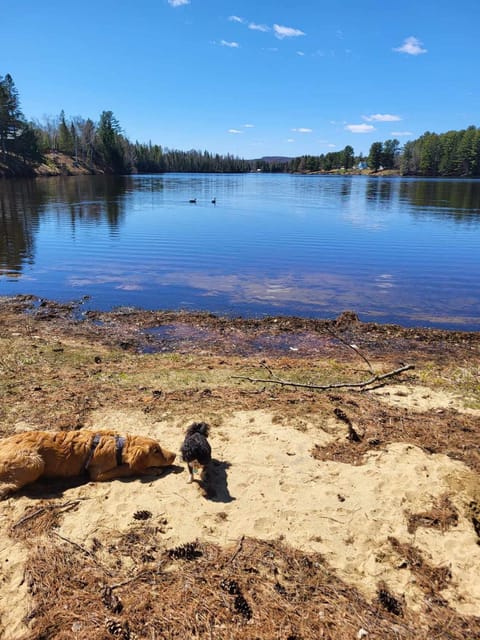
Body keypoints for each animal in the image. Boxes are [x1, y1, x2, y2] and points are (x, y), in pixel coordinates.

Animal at [0, 430, 176, 500]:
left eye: (159, 447)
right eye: (156, 451)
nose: (175, 455)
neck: (118, 446)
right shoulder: (97, 474)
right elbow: (128, 468)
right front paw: (153, 470)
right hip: (35, 462)